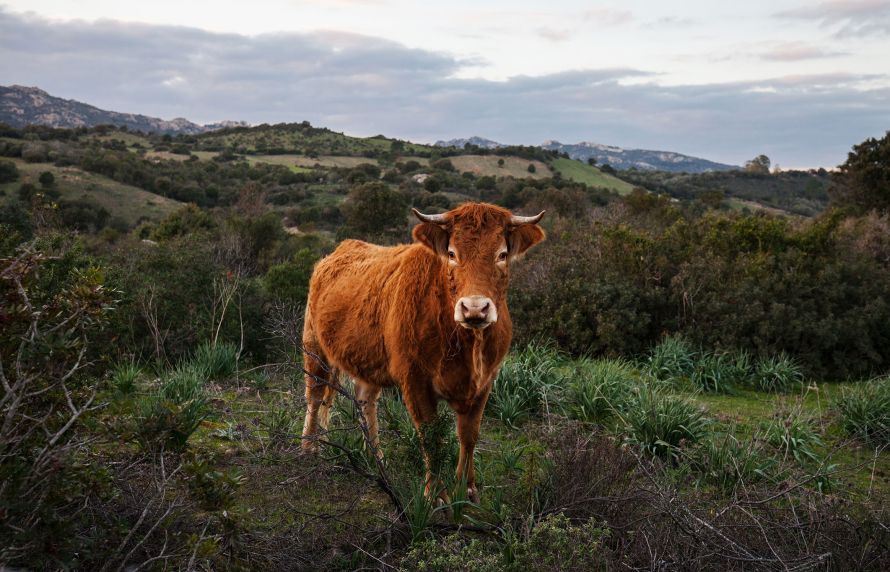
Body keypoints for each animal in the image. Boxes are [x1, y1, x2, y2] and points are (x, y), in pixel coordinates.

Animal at [302, 202, 544, 500]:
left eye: (502, 254)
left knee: (364, 400)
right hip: (314, 347)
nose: (474, 308)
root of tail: (340, 250)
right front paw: (436, 493)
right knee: (315, 395)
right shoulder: (414, 380)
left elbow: (469, 434)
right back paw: (309, 447)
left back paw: (375, 458)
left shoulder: (485, 382)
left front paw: (467, 489)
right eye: (452, 253)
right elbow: (430, 437)